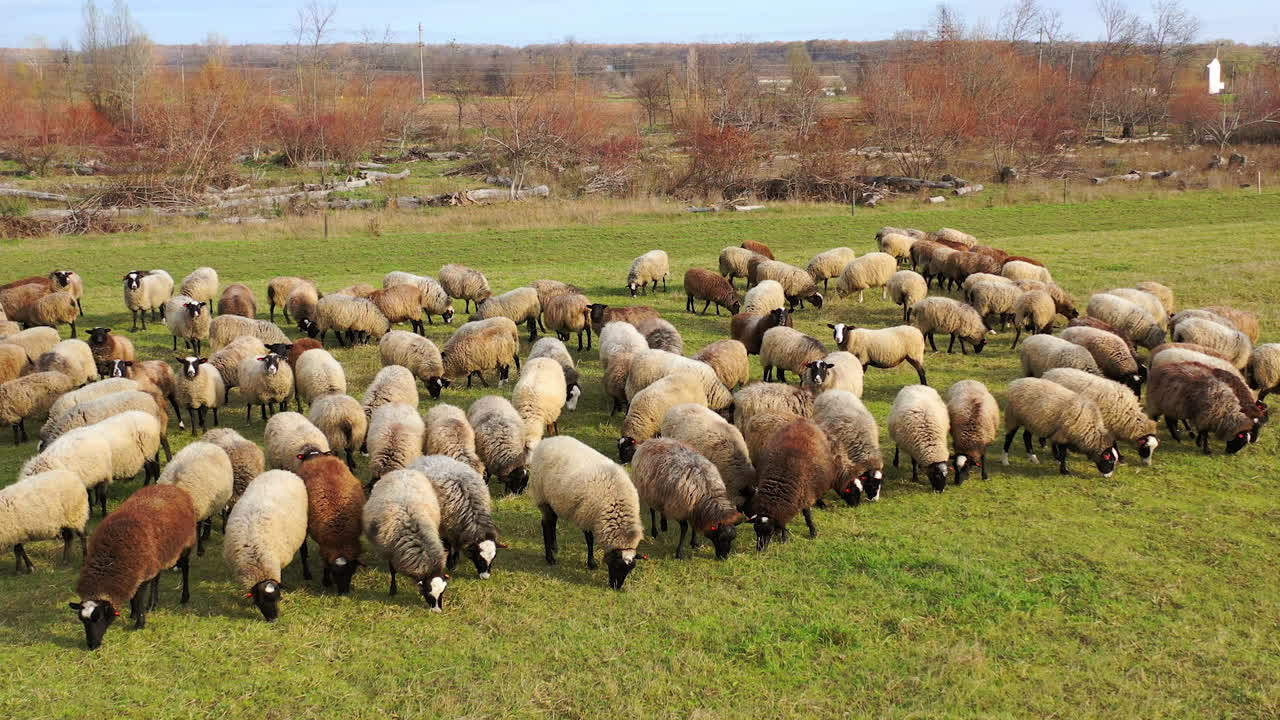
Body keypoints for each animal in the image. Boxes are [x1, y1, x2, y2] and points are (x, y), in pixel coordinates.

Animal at [71, 484, 196, 648]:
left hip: (185, 544)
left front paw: (139, 623)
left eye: (99, 618)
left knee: (186, 569)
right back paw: (152, 604)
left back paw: (184, 597)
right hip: (157, 556)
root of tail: (172, 487)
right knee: (157, 577)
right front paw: (133, 613)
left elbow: (138, 599)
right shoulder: (134, 572)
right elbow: (134, 595)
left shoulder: (141, 576)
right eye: (82, 620)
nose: (92, 646)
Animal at [294, 449, 366, 594]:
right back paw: (307, 574)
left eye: (351, 572)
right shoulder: (325, 545)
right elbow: (324, 563)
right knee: (303, 551)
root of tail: (316, 455)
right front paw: (326, 581)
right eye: (335, 574)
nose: (343, 593)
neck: (340, 538)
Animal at [528, 436, 644, 590]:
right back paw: (550, 558)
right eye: (616, 566)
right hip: (542, 496)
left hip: (553, 499)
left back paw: (554, 547)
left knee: (552, 522)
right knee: (546, 524)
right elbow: (589, 540)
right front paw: (591, 563)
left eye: (630, 570)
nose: (616, 588)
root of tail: (547, 440)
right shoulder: (587, 515)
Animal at [749, 418, 853, 550]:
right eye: (756, 531)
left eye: (769, 531)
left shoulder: (805, 493)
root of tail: (801, 420)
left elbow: (808, 515)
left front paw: (813, 533)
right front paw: (783, 535)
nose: (760, 549)